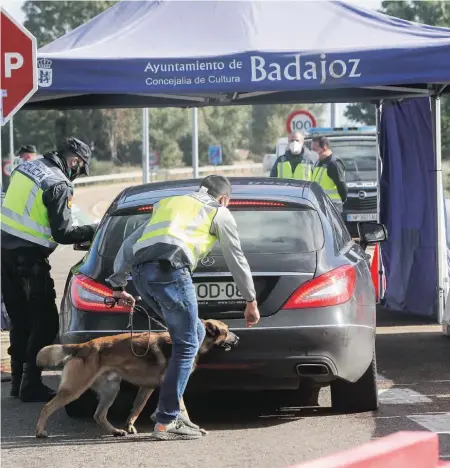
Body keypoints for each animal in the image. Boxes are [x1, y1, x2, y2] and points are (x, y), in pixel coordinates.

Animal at [34, 318, 239, 438]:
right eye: (227, 331)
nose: (237, 338)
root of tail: (83, 346)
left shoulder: (147, 387)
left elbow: (137, 408)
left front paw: (131, 425)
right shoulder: (174, 384)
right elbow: (182, 409)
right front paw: (191, 427)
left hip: (111, 390)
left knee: (99, 415)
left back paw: (116, 431)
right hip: (75, 389)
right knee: (46, 407)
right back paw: (40, 431)